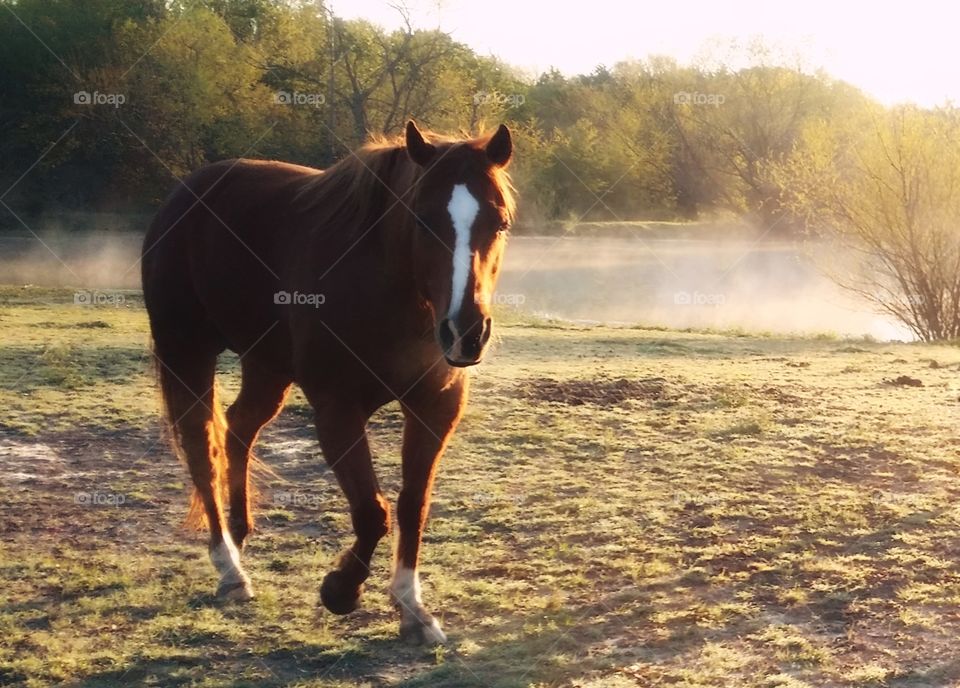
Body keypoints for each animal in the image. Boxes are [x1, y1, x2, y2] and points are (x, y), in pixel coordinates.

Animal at [140, 121, 512, 644]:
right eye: (422, 221)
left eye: (498, 223)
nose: (466, 331)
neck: (384, 288)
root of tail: (183, 194)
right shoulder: (337, 410)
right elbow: (373, 512)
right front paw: (341, 590)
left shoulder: (434, 406)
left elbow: (412, 505)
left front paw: (411, 607)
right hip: (186, 353)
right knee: (202, 450)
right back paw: (229, 568)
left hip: (266, 367)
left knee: (238, 428)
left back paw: (240, 531)